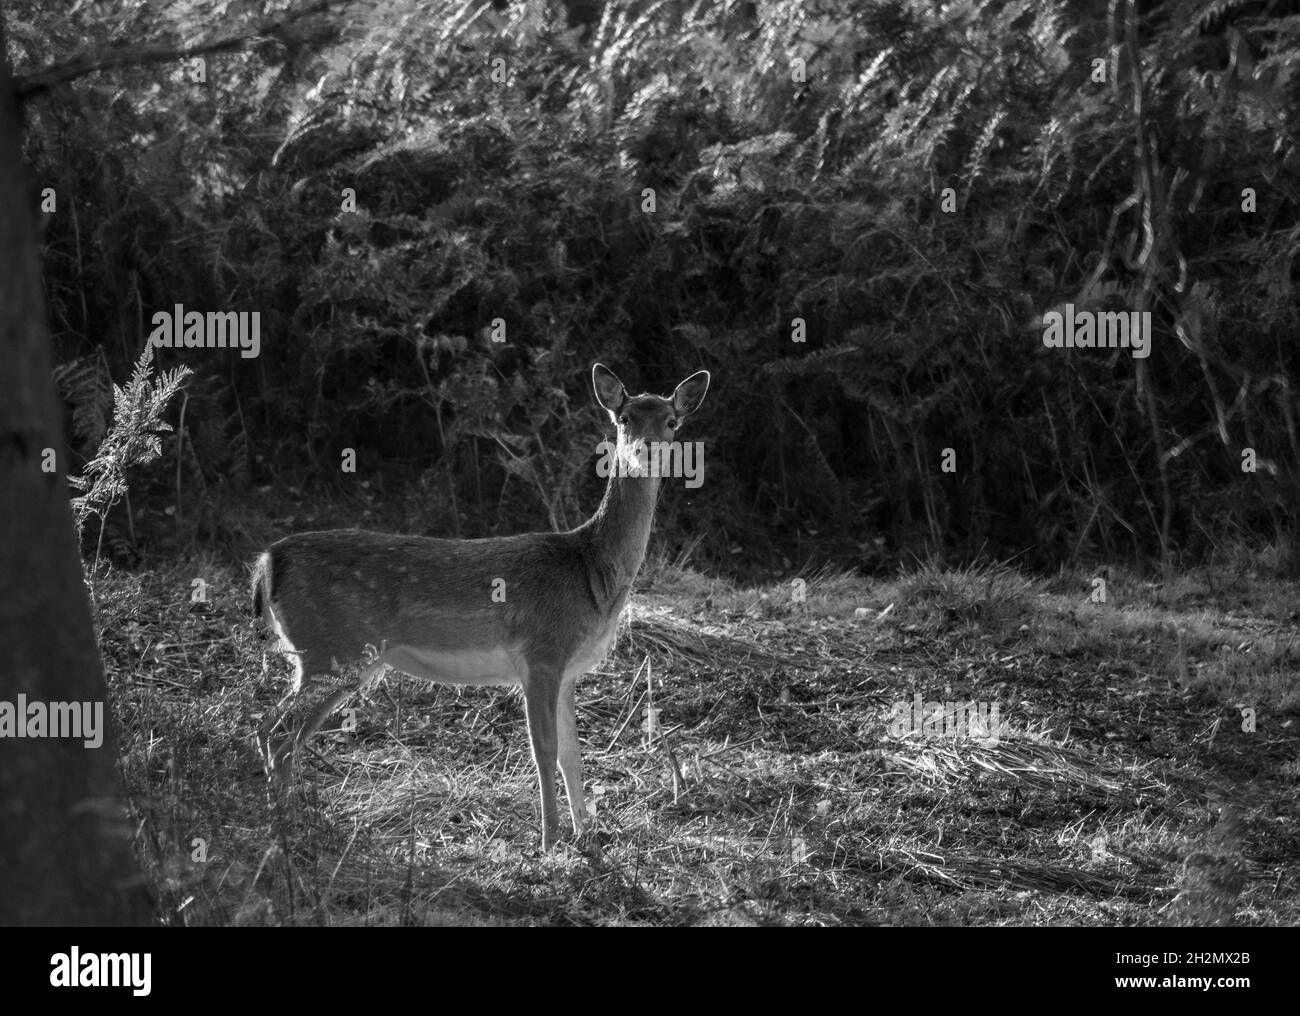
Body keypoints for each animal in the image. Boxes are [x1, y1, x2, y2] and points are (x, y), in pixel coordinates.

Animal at [248, 363, 707, 852]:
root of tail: (268, 561)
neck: (592, 573)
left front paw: (589, 835)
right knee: (277, 731)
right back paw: (286, 829)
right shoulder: (541, 651)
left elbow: (573, 754)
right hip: (331, 648)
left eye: (671, 421)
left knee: (272, 729)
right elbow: (544, 750)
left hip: (325, 653)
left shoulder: (568, 668)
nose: (647, 449)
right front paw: (549, 842)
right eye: (624, 419)